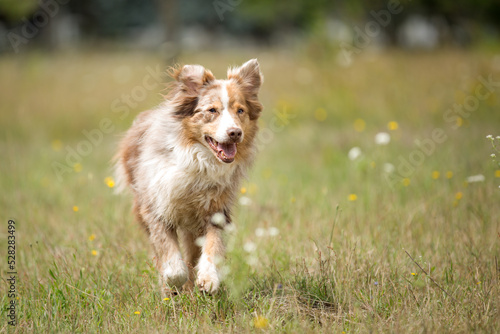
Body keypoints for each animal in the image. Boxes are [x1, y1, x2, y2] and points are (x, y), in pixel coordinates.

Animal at [113, 58, 262, 294]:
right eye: (212, 110)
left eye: (240, 110)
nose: (235, 133)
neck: (199, 162)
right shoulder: (155, 207)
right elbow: (170, 258)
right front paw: (172, 282)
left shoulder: (216, 211)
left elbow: (212, 247)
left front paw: (208, 279)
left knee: (192, 253)